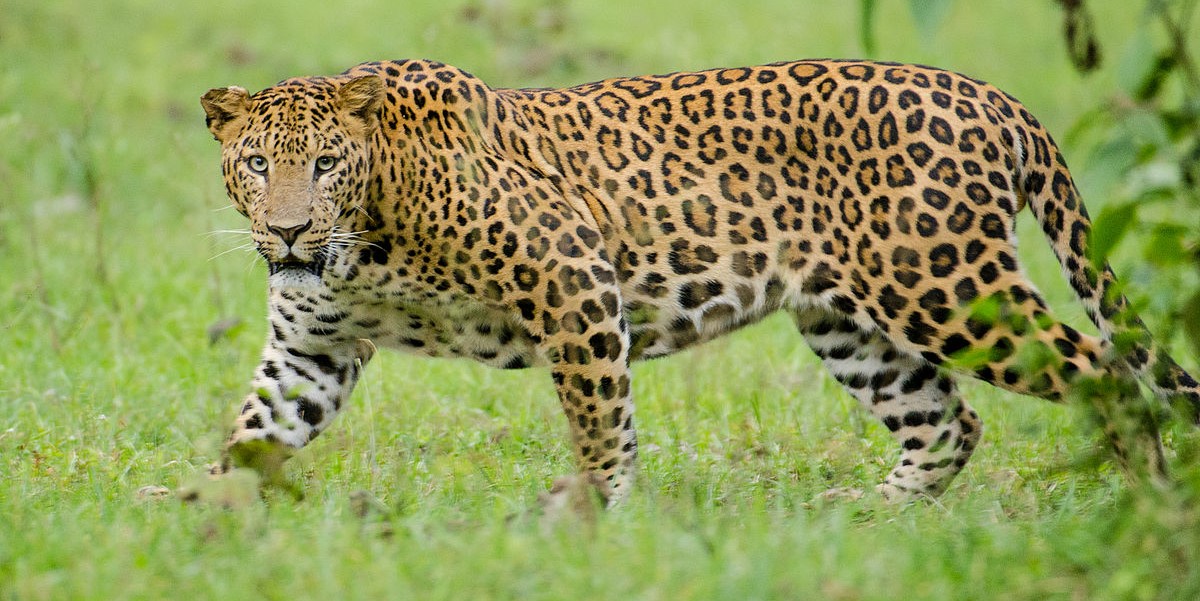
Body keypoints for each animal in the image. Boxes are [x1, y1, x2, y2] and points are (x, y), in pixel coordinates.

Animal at [201, 58, 1200, 504]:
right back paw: (869, 516)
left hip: (946, 286)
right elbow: (255, 429)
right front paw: (194, 517)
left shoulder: (573, 276)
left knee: (1108, 376)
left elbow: (599, 418)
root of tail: (994, 97)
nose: (288, 229)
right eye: (256, 164)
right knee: (948, 420)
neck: (364, 240)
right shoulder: (312, 347)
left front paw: (592, 514)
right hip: (849, 321)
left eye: (325, 163)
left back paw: (1151, 504)